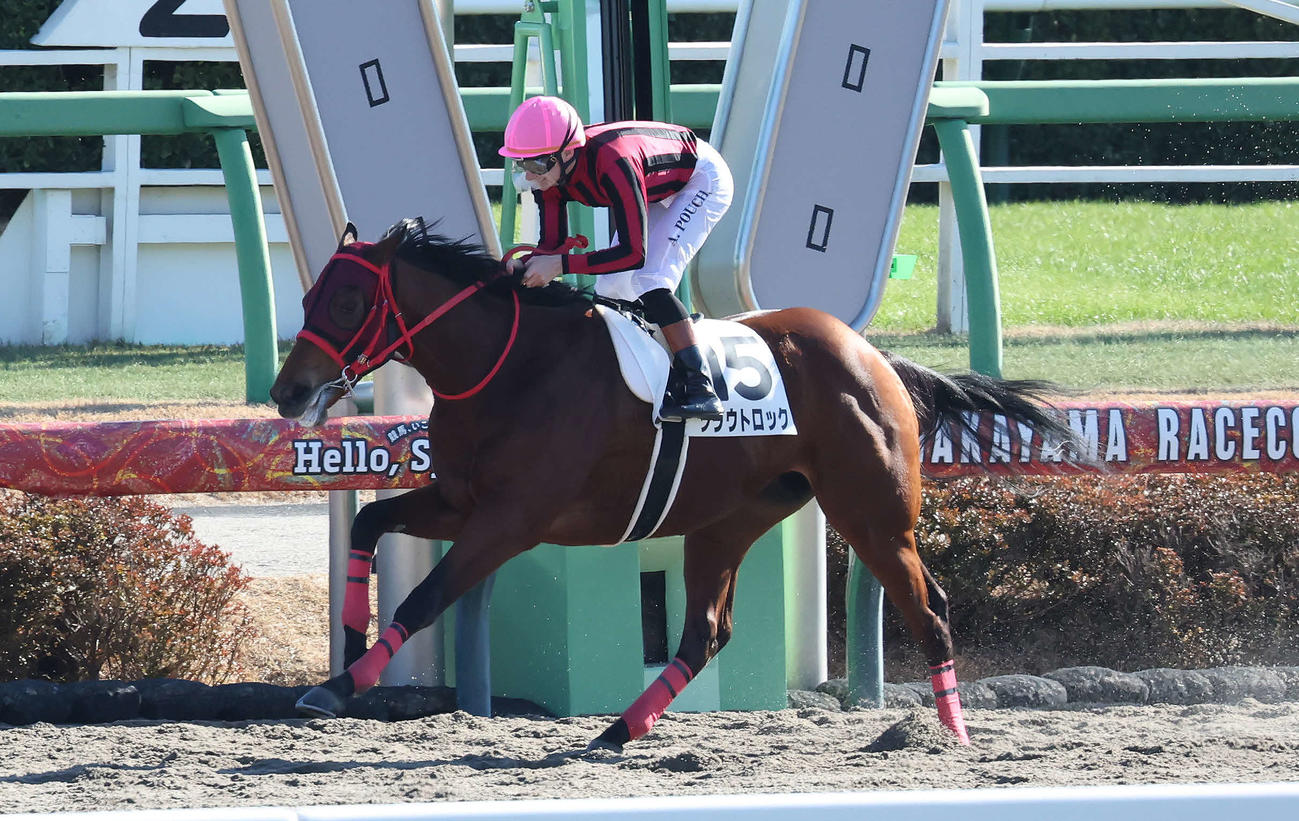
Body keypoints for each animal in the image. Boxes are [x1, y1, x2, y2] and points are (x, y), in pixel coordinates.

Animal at [270, 216, 1078, 749]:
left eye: (347, 303)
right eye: (308, 299)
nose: (287, 392)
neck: (513, 367)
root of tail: (874, 355)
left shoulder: (510, 521)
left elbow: (426, 595)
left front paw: (341, 683)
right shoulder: (458, 500)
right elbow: (371, 524)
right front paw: (345, 644)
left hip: (872, 515)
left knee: (929, 607)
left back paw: (949, 735)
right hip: (729, 520)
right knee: (705, 632)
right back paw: (616, 732)